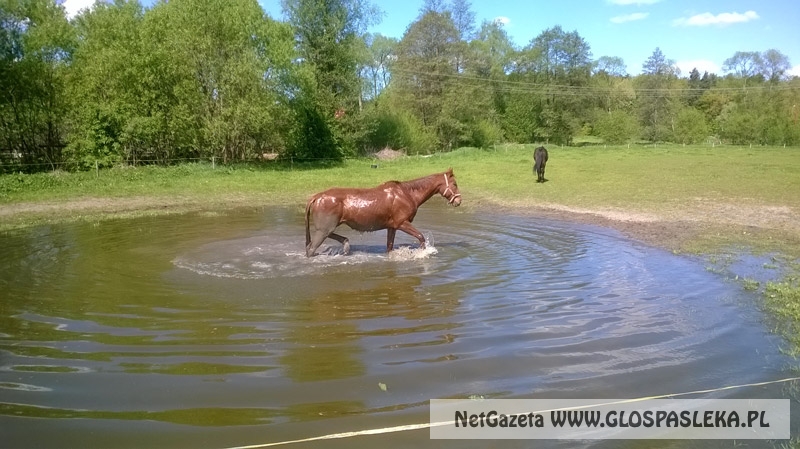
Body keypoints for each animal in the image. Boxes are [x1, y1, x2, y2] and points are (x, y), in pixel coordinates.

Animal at [304, 168, 460, 258]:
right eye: (455, 184)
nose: (459, 200)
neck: (407, 194)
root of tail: (316, 197)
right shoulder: (402, 223)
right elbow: (421, 237)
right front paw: (422, 253)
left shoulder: (392, 227)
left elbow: (389, 248)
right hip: (324, 229)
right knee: (311, 249)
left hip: (326, 228)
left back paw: (346, 244)